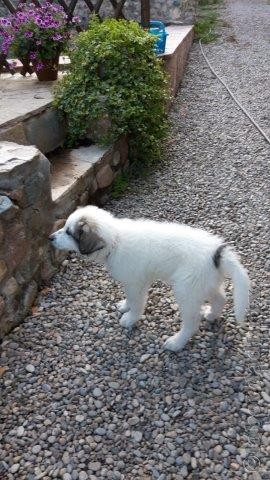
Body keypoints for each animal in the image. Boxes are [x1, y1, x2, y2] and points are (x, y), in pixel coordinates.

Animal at [49, 204, 250, 350]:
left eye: (69, 232)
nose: (50, 238)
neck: (115, 239)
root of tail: (217, 252)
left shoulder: (136, 284)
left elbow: (137, 303)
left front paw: (130, 318)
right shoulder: (132, 281)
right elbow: (130, 299)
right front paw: (125, 306)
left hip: (186, 290)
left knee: (192, 322)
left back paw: (176, 343)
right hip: (204, 283)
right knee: (220, 298)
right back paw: (212, 315)